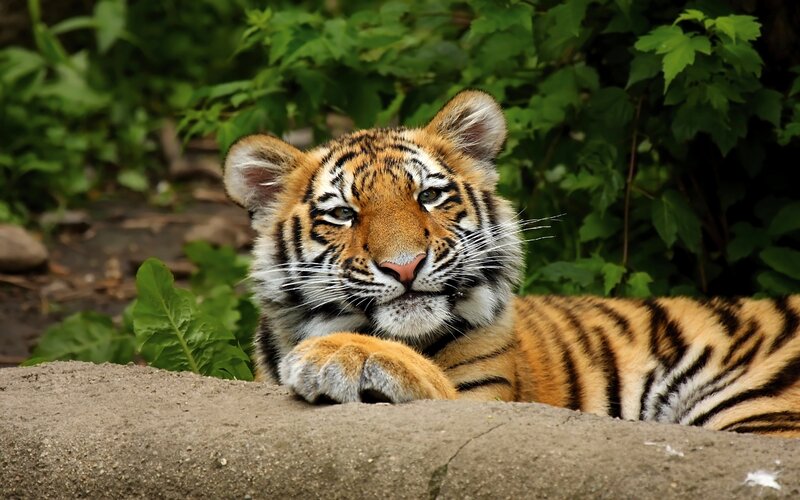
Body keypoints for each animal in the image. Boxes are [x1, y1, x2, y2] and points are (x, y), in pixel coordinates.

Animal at [223, 89, 800, 437]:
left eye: (429, 196)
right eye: (343, 214)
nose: (405, 267)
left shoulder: (487, 404)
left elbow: (435, 386)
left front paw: (346, 355)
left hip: (757, 402)